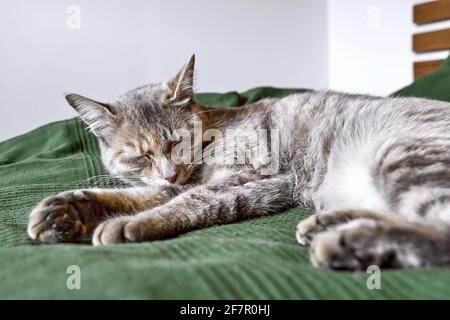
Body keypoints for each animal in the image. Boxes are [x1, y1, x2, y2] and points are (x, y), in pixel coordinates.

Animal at [27, 55, 450, 270]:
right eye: (139, 155)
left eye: (177, 141)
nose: (170, 172)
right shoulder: (166, 185)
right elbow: (133, 196)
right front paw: (64, 211)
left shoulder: (259, 180)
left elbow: (191, 201)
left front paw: (128, 225)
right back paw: (328, 224)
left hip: (403, 154)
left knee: (437, 230)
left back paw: (347, 242)